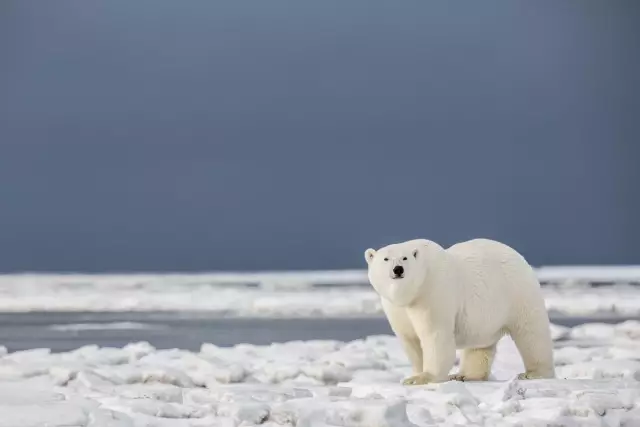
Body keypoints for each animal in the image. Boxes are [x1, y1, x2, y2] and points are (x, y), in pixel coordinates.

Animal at [364, 239, 556, 386]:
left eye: (404, 258)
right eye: (386, 259)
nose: (398, 269)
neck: (414, 292)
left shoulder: (433, 294)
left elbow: (435, 335)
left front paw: (423, 378)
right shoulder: (396, 308)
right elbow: (410, 340)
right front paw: (414, 374)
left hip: (518, 293)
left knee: (531, 333)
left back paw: (534, 373)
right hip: (485, 316)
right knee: (479, 346)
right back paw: (463, 375)